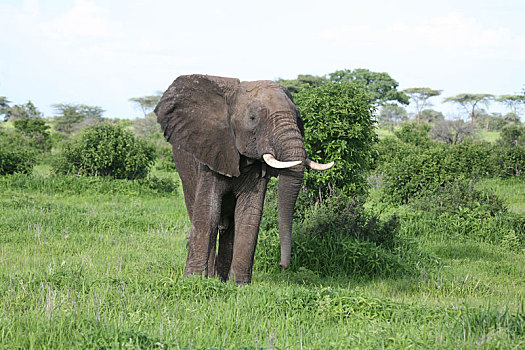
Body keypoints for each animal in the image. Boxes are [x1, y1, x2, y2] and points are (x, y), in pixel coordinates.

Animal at [154, 74, 332, 284]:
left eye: (298, 118)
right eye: (253, 118)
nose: (283, 266)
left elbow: (249, 213)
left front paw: (239, 285)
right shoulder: (211, 153)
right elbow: (208, 211)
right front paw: (194, 280)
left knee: (229, 226)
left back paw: (221, 279)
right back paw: (211, 277)